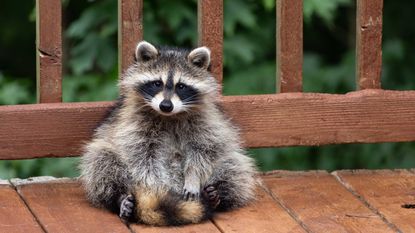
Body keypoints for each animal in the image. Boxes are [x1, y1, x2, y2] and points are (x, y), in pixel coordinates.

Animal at [79, 40, 258, 226]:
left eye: (181, 86)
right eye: (157, 83)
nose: (166, 105)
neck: (169, 116)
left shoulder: (207, 121)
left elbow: (206, 149)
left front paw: (193, 176)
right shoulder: (133, 124)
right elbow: (143, 158)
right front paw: (154, 188)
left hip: (227, 164)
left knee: (234, 167)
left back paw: (217, 195)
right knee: (102, 161)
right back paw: (121, 198)